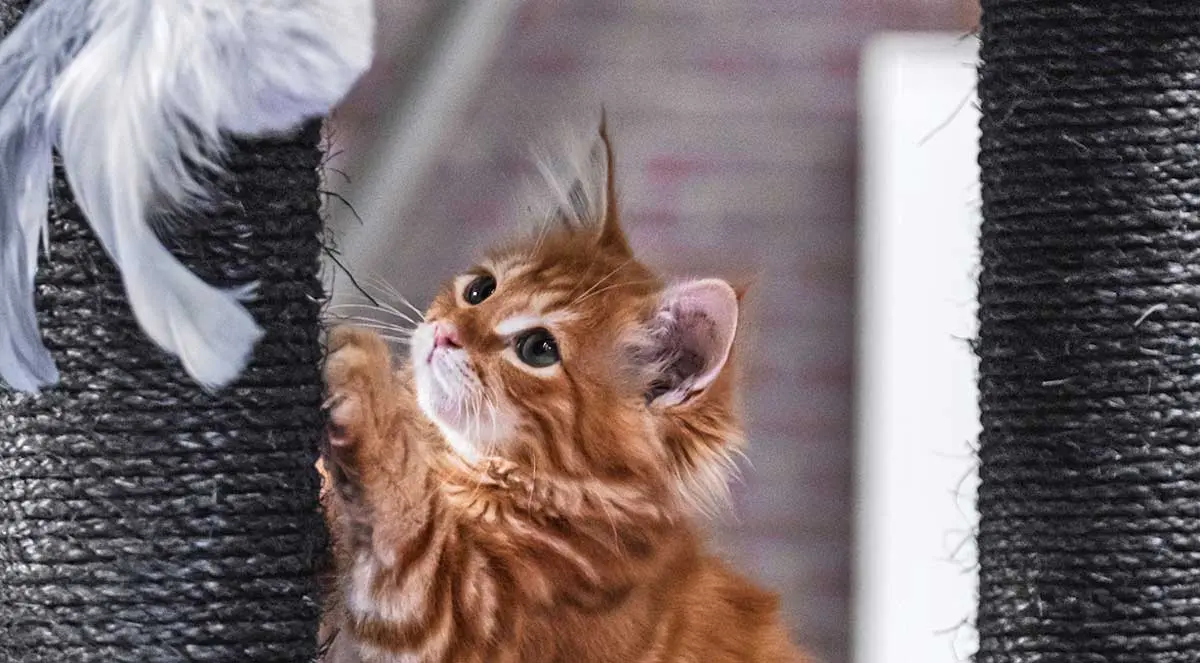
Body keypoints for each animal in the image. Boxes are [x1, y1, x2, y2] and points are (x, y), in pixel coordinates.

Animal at [319, 121, 806, 658]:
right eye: (479, 290)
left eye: (538, 349)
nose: (444, 333)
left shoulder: (471, 623)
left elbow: (408, 525)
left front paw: (359, 373)